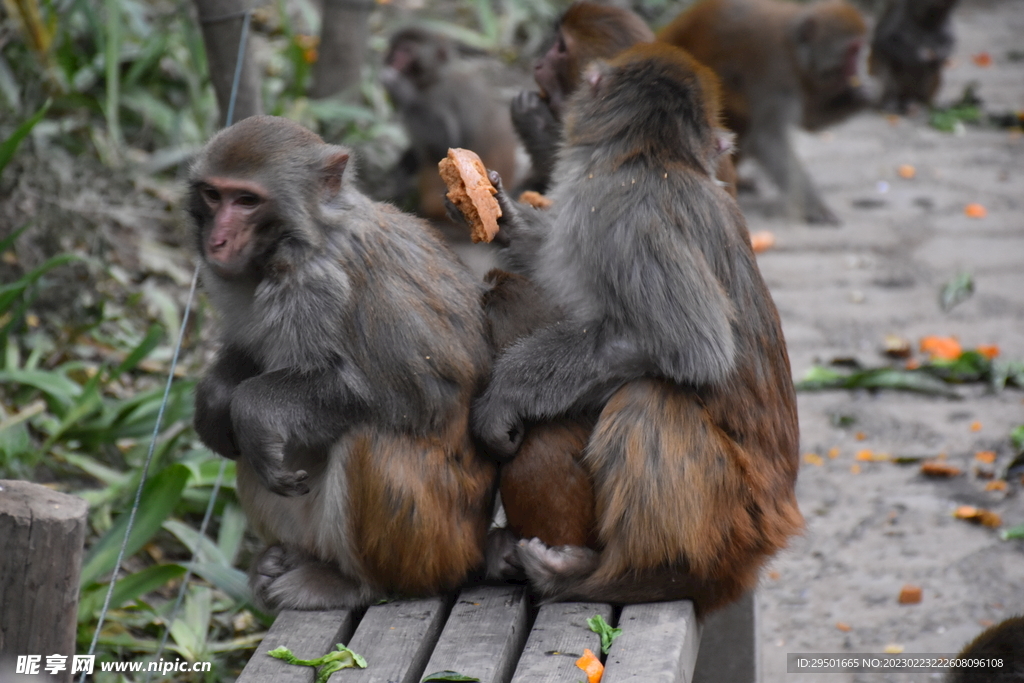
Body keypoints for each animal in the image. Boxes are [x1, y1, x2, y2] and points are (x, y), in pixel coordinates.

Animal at [192, 114, 499, 610]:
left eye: (246, 201)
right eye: (212, 195)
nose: (217, 240)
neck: (300, 242)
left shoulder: (320, 285)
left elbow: (407, 394)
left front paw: (251, 408)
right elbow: (248, 355)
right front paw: (214, 399)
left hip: (440, 547)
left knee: (366, 441)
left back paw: (352, 584)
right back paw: (283, 560)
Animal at [380, 27, 516, 227]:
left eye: (406, 50)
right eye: (395, 48)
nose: (393, 59)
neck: (433, 79)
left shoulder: (438, 98)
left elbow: (444, 144)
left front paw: (400, 89)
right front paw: (398, 175)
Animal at [456, 44, 798, 614]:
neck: (650, 156)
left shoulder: (623, 210)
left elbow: (693, 347)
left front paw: (507, 392)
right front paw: (508, 219)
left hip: (735, 518)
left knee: (648, 400)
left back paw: (627, 576)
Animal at [659, 0, 868, 224]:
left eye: (858, 50)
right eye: (852, 51)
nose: (855, 70)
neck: (793, 47)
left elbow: (809, 121)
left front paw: (867, 95)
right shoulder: (776, 70)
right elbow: (770, 139)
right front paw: (814, 207)